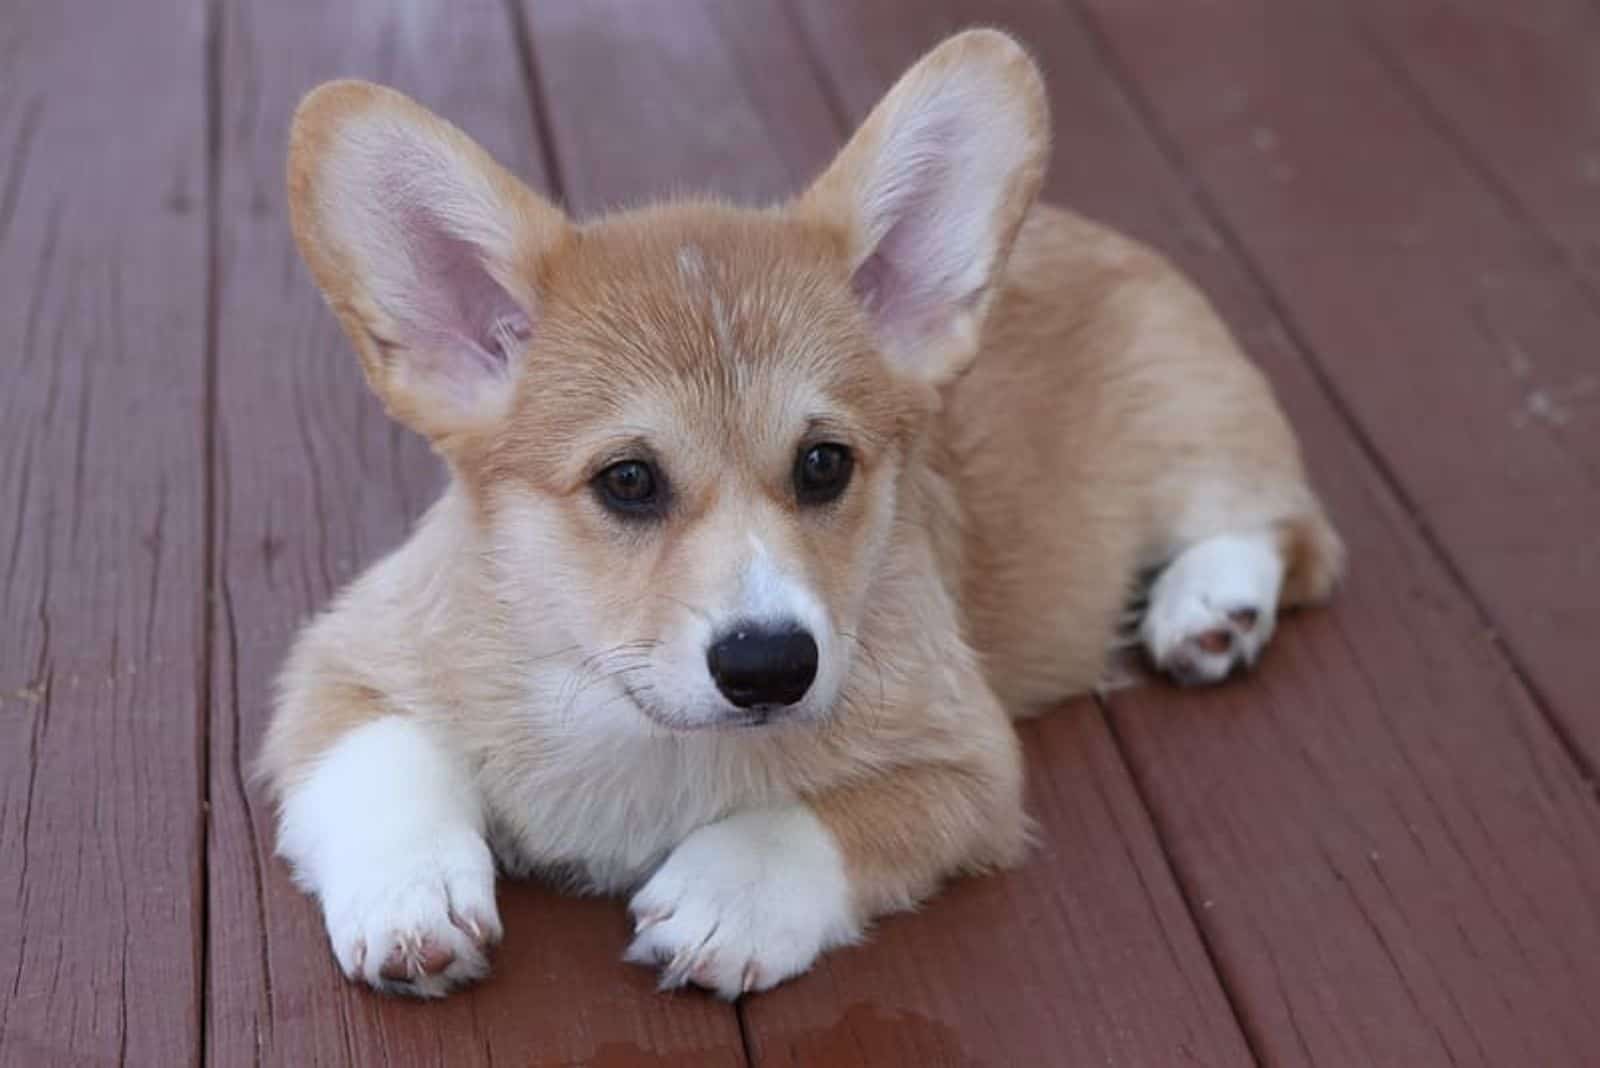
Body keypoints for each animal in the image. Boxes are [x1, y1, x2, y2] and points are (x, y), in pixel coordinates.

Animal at [259, 33, 1337, 1004]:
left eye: (824, 465)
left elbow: (821, 819)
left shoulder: (968, 765)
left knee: (1287, 528)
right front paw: (413, 897)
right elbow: (381, 760)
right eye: (628, 481)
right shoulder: (341, 659)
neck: (638, 723)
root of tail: (1097, 228)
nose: (770, 666)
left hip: (1197, 430)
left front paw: (728, 896)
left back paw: (1211, 609)